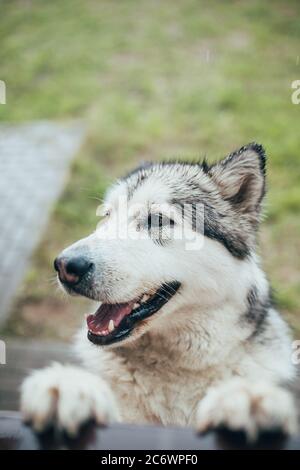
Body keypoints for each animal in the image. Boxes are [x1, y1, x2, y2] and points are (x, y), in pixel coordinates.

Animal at [21, 144, 298, 440]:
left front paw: (244, 398)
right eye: (106, 217)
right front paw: (71, 387)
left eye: (157, 219)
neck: (174, 366)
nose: (66, 266)